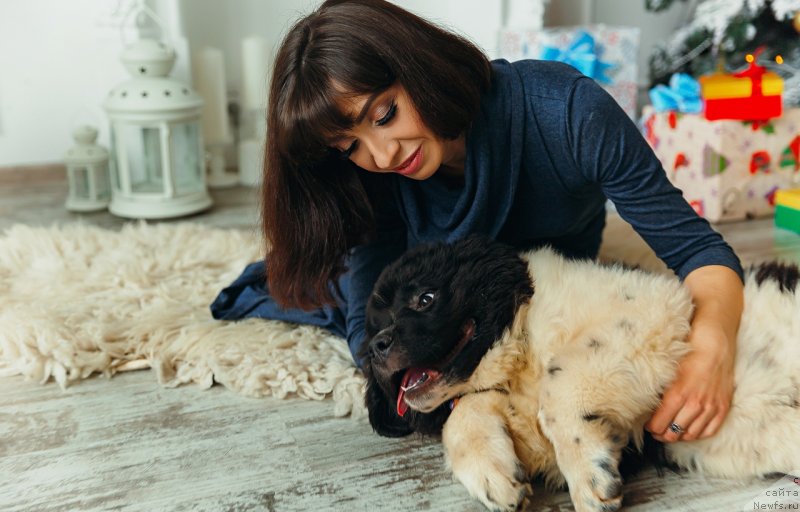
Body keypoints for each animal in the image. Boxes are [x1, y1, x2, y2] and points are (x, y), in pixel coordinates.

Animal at [360, 237, 800, 512]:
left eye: (425, 298)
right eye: (374, 325)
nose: (377, 345)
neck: (520, 356)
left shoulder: (652, 308)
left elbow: (561, 383)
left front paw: (589, 479)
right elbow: (464, 414)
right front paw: (495, 479)